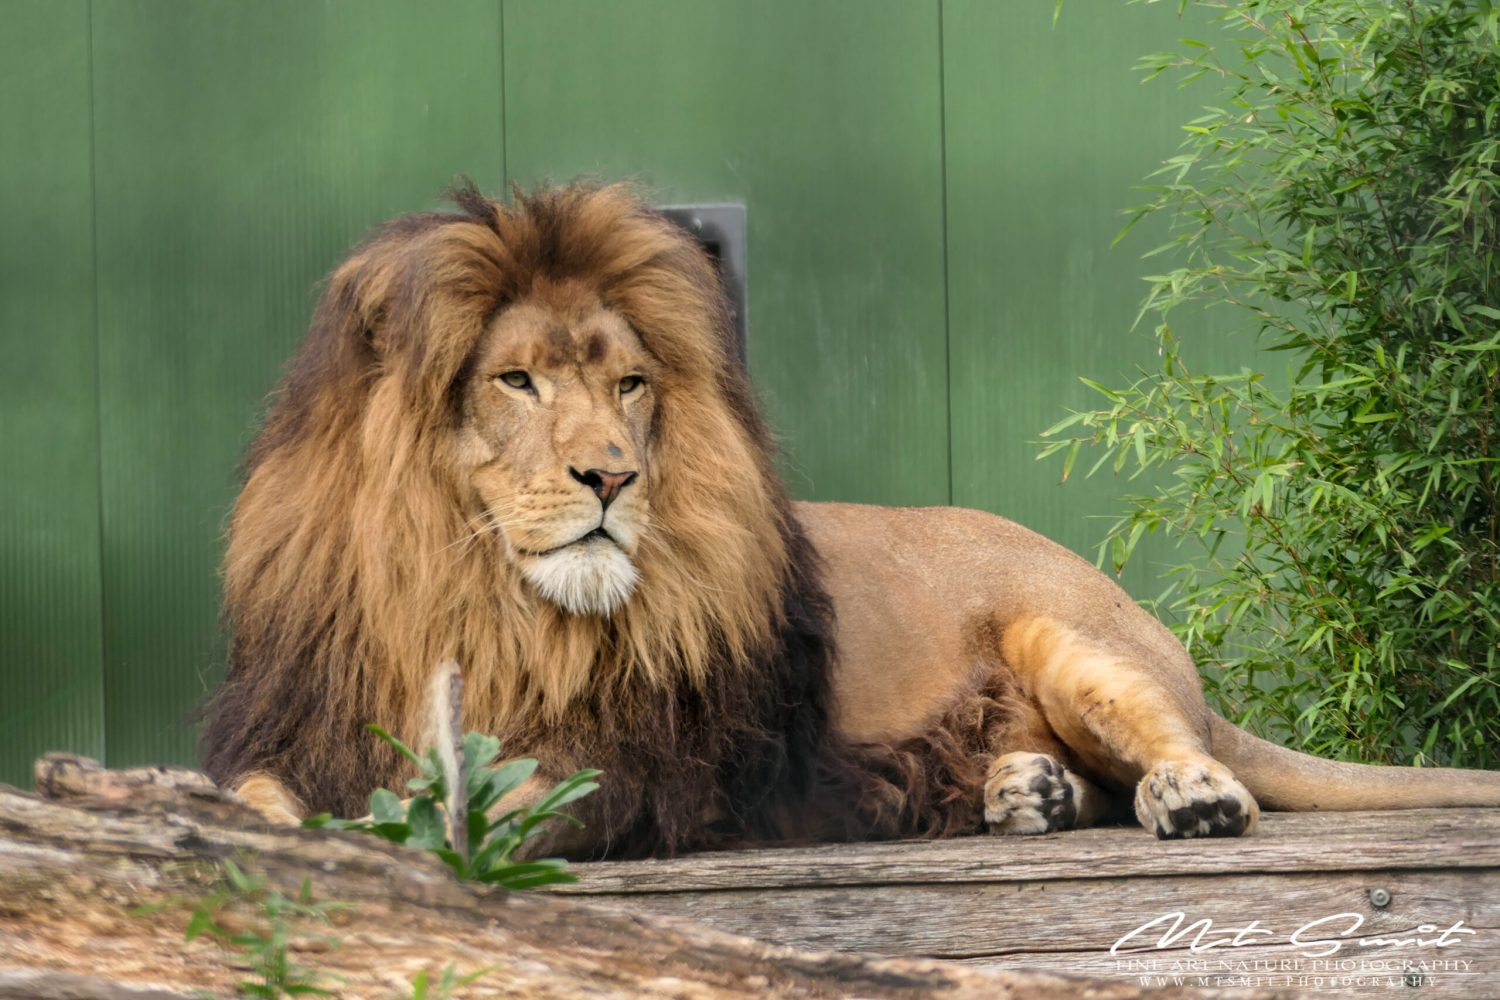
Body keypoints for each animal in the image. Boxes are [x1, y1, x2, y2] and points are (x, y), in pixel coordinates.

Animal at [205, 183, 1500, 857]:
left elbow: (500, 803)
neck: (470, 594)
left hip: (1074, 636)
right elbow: (257, 793)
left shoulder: (648, 765)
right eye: (515, 380)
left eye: (631, 385)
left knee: (1188, 754)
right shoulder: (307, 727)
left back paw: (1183, 793)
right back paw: (1025, 790)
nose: (611, 477)